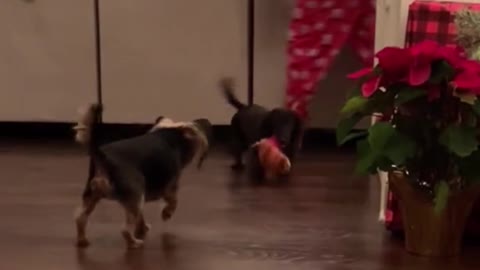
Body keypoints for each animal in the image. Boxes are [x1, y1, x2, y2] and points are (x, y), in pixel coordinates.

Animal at [73, 104, 212, 249]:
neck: (170, 134)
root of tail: (103, 157)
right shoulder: (169, 188)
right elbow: (173, 202)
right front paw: (166, 213)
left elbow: (141, 216)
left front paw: (142, 227)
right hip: (134, 197)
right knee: (124, 230)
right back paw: (134, 242)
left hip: (93, 196)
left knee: (80, 218)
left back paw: (82, 240)